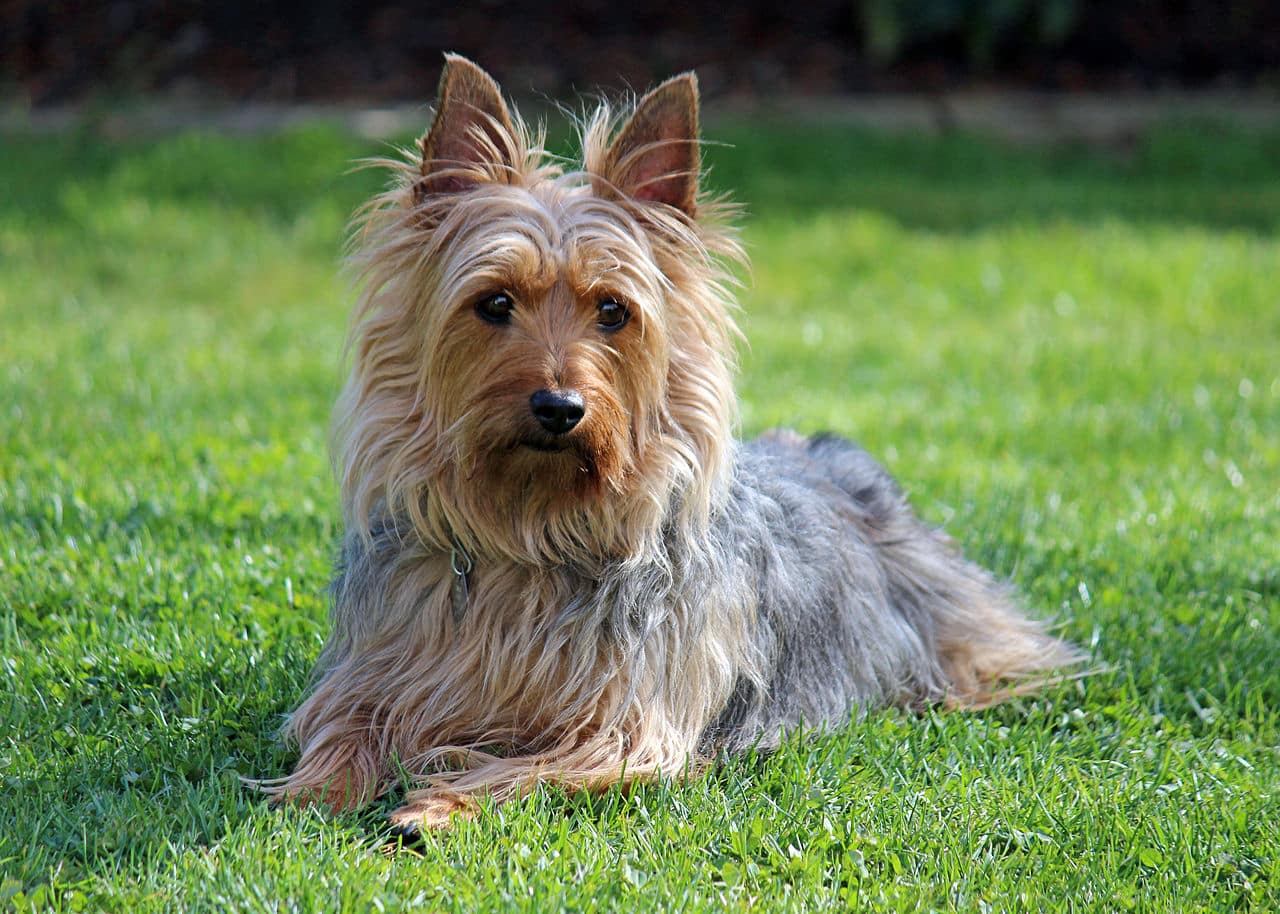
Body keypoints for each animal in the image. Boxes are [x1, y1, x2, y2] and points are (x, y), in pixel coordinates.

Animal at [264, 53, 1085, 829]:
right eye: (493, 303)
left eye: (613, 310)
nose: (559, 407)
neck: (531, 532)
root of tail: (819, 451)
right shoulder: (372, 674)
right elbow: (343, 728)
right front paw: (311, 793)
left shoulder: (628, 723)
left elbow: (527, 771)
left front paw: (434, 807)